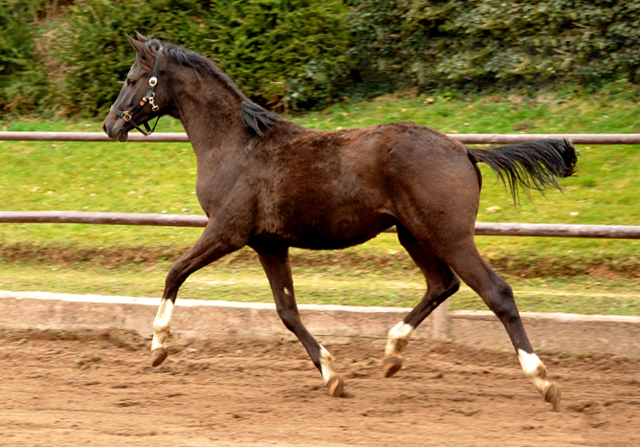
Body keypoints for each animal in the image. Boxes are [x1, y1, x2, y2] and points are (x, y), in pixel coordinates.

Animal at [102, 34, 576, 410]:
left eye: (131, 79)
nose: (109, 126)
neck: (236, 144)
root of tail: (464, 150)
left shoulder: (227, 231)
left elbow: (175, 271)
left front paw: (158, 346)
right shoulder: (269, 244)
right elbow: (287, 311)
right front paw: (333, 375)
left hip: (449, 236)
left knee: (496, 292)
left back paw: (543, 381)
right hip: (414, 235)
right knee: (442, 285)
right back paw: (392, 353)